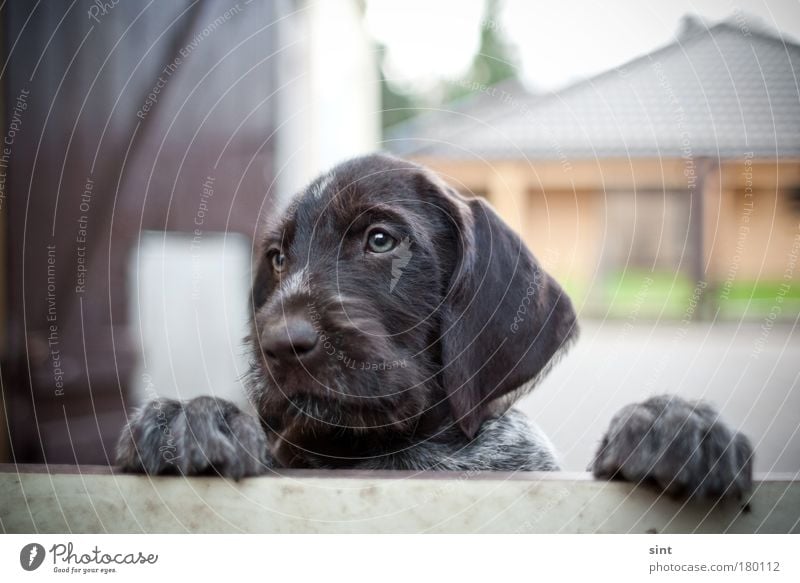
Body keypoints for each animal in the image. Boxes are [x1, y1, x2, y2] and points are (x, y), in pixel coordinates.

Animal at [115, 154, 752, 502]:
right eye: (276, 258)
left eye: (380, 240)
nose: (280, 346)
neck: (389, 453)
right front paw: (189, 419)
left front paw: (671, 428)